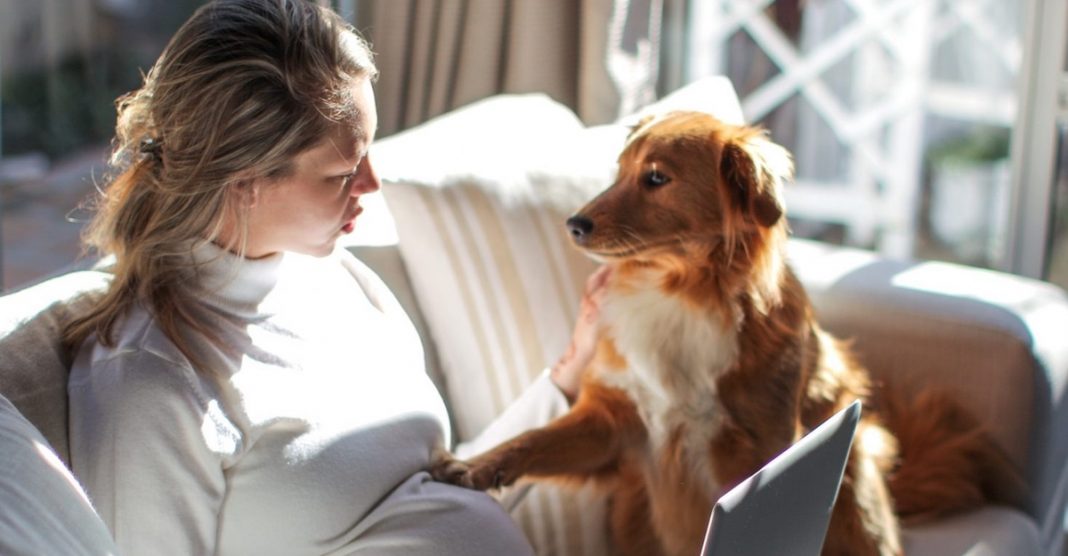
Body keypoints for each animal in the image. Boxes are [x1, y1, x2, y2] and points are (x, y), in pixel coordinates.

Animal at [429, 111, 1029, 554]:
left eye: (655, 177)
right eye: (619, 171)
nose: (574, 224)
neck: (683, 291)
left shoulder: (763, 444)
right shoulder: (616, 425)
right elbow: (531, 439)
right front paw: (472, 466)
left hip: (856, 481)